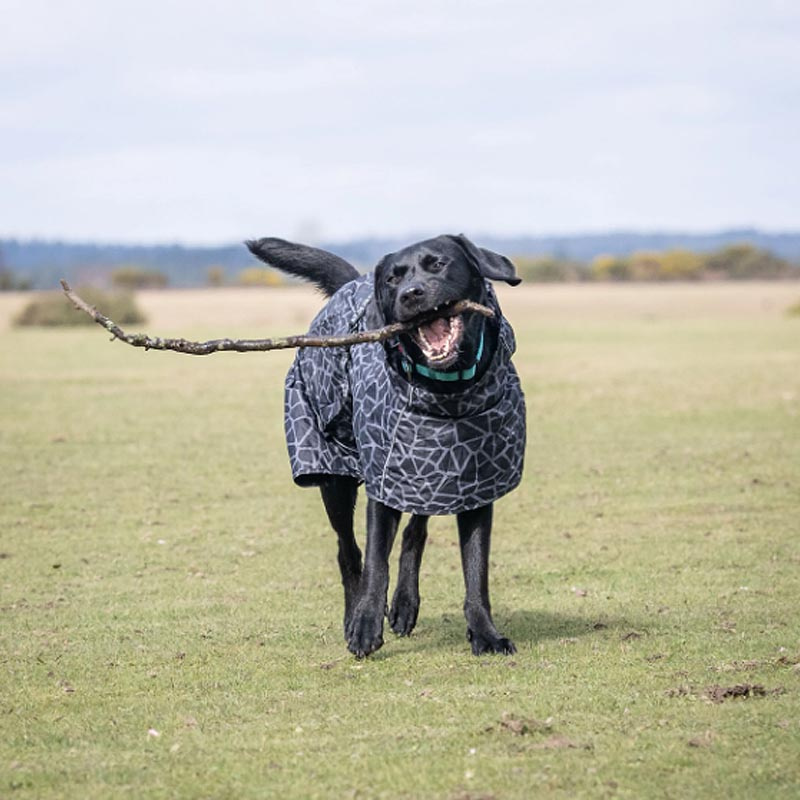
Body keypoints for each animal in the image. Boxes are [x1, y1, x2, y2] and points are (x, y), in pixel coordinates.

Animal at [247, 234, 528, 660]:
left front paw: (486, 634)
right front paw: (364, 626)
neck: (448, 393)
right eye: (394, 279)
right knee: (348, 553)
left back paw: (405, 605)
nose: (411, 294)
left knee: (415, 532)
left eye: (438, 264)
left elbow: (476, 569)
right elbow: (376, 561)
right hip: (334, 477)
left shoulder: (474, 485)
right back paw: (355, 613)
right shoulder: (383, 481)